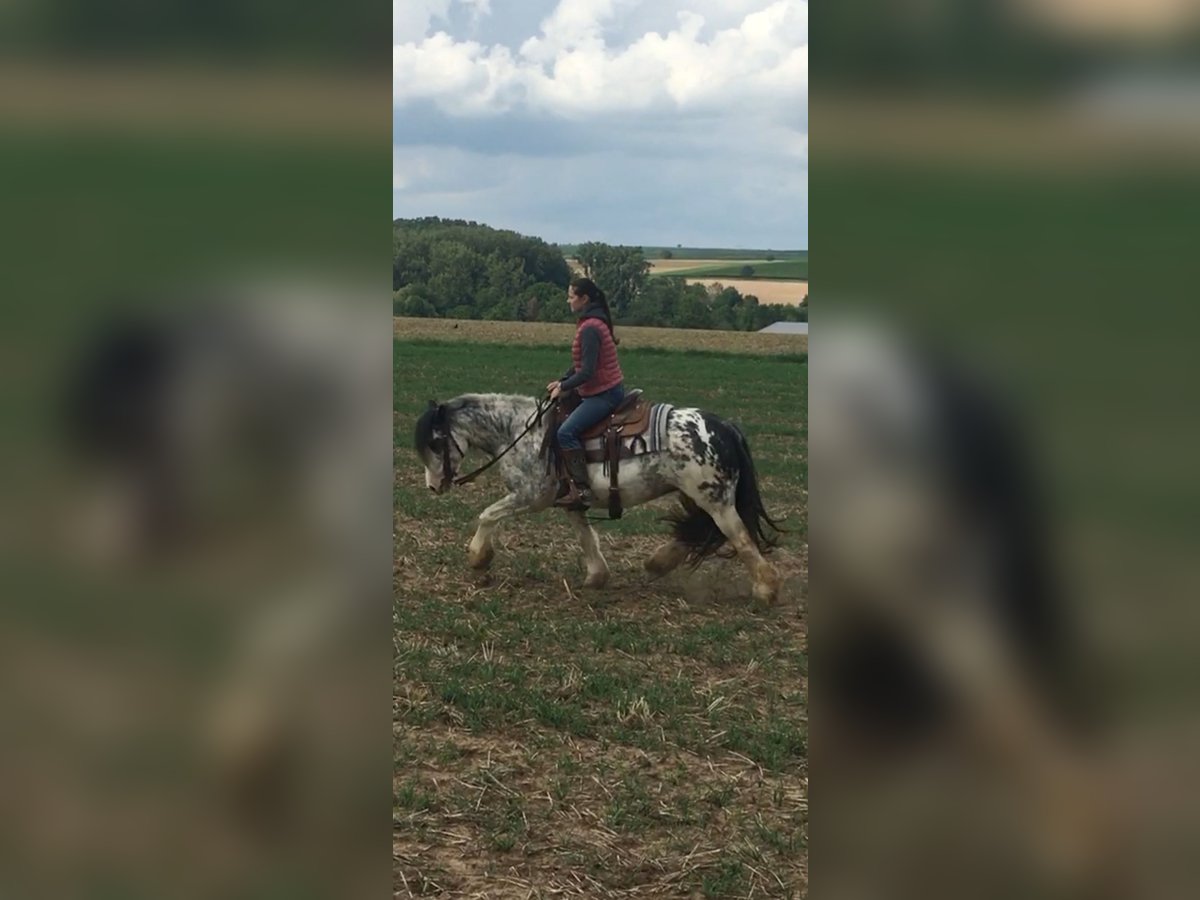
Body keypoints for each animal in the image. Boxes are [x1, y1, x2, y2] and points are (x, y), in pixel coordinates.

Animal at [412, 393, 787, 607]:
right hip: (701, 497)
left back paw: (766, 590)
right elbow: (586, 536)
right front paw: (597, 577)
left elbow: (487, 515)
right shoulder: (571, 500)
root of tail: (726, 427)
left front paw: (479, 558)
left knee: (737, 537)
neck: (519, 431)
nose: (432, 486)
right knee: (700, 531)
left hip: (716, 501)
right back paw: (658, 562)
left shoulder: (531, 495)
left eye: (436, 442)